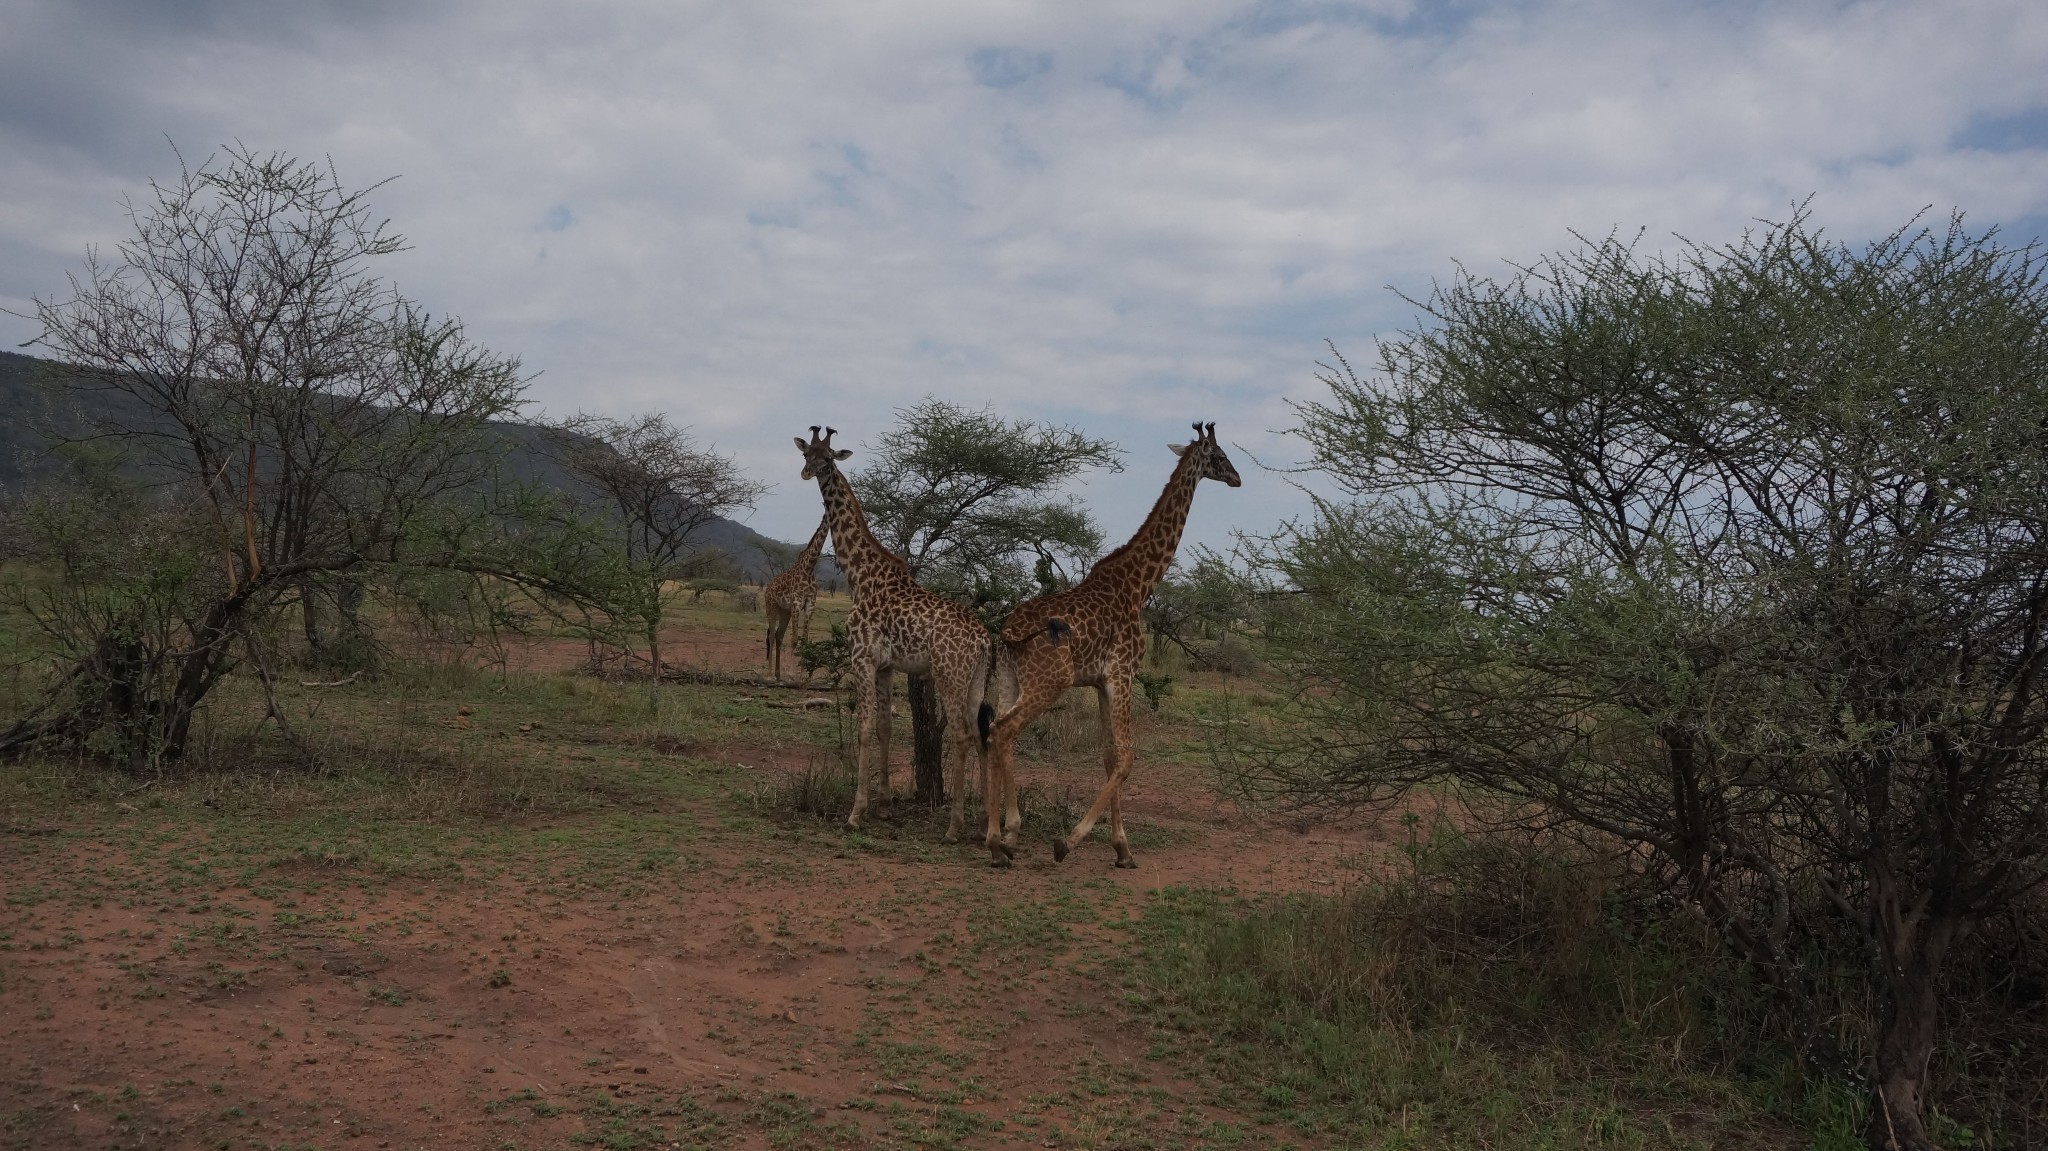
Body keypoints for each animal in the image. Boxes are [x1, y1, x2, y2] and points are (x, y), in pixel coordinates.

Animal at [761, 509, 823, 679]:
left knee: (779, 635)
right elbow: (794, 639)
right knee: (771, 635)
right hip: (771, 606)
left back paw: (778, 674)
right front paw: (792, 673)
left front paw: (802, 674)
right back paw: (769, 672)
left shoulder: (810, 604)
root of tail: (768, 586)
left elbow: (805, 640)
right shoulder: (796, 602)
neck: (809, 568)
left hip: (785, 611)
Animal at [794, 421, 995, 831]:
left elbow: (864, 728)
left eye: (828, 458)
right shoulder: (886, 666)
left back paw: (955, 825)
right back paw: (987, 821)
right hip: (976, 680)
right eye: (807, 453)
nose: (807, 473)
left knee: (963, 735)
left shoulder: (862, 656)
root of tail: (983, 639)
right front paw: (884, 805)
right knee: (980, 734)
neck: (860, 575)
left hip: (949, 675)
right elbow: (884, 729)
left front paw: (856, 812)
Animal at [983, 421, 1236, 860]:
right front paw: (1070, 841)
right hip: (1049, 681)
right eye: (1220, 456)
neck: (1138, 585)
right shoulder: (1123, 672)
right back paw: (1003, 837)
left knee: (998, 731)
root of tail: (1009, 631)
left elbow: (1108, 756)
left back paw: (999, 836)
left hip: (1010, 677)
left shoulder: (1101, 680)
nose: (1238, 478)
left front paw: (1122, 850)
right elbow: (1128, 757)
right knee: (1005, 731)